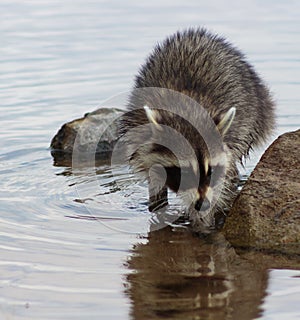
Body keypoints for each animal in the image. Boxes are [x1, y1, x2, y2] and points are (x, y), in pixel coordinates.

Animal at [119, 28, 274, 232]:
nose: (203, 204)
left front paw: (204, 221)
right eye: (184, 172)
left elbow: (219, 186)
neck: (188, 111)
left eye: (210, 171)